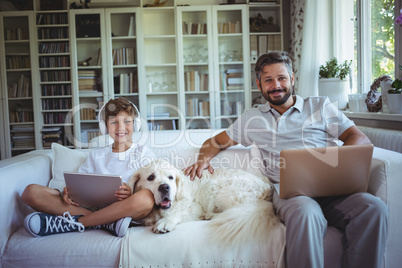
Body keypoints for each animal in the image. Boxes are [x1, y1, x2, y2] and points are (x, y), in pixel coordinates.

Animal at [128, 159, 280, 245]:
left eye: (170, 177)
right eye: (150, 177)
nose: (165, 187)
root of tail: (267, 187)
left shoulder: (196, 207)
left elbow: (178, 213)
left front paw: (165, 222)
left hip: (214, 187)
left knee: (232, 212)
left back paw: (211, 216)